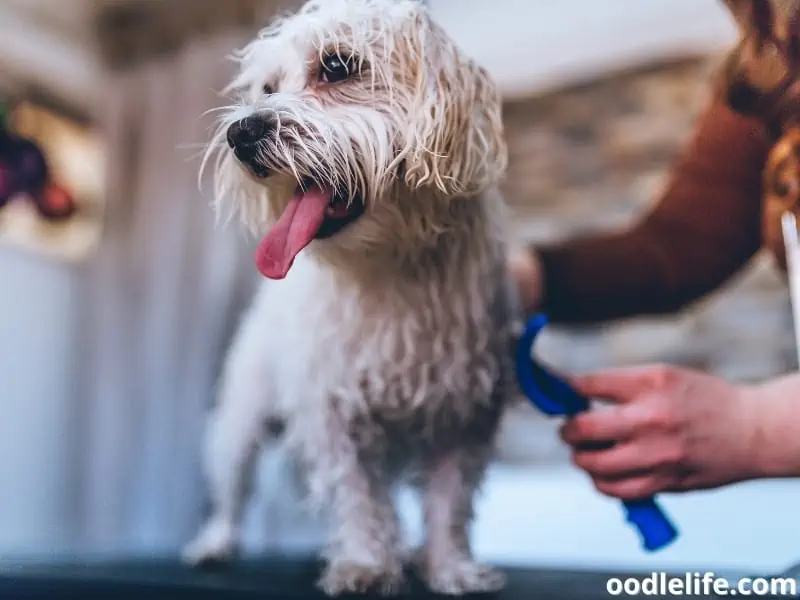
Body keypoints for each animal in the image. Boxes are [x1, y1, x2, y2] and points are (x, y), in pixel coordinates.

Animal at [182, 0, 520, 592]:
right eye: (267, 87)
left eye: (338, 66)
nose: (241, 133)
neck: (393, 269)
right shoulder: (334, 411)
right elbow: (359, 496)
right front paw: (365, 563)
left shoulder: (464, 417)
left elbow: (449, 500)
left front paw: (448, 566)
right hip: (239, 423)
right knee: (231, 491)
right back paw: (215, 542)